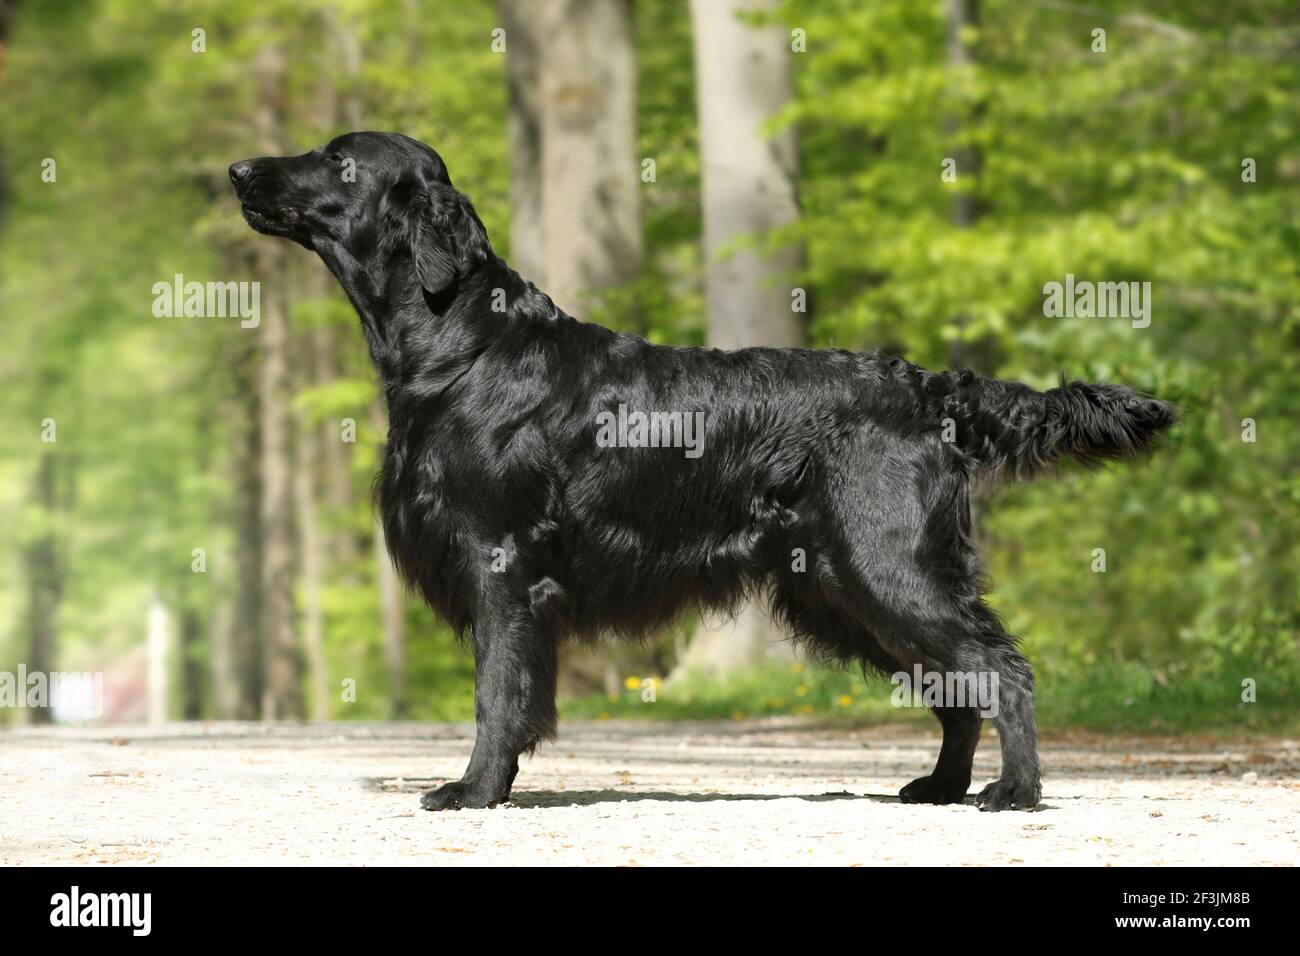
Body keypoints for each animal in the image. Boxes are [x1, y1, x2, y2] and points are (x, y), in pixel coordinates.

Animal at [233, 130, 1180, 811]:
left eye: (340, 161)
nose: (238, 168)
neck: (465, 344)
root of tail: (926, 385)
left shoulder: (501, 561)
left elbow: (499, 692)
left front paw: (474, 790)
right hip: (842, 587)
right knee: (957, 687)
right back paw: (942, 788)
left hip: (889, 569)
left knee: (1001, 670)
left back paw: (1014, 793)